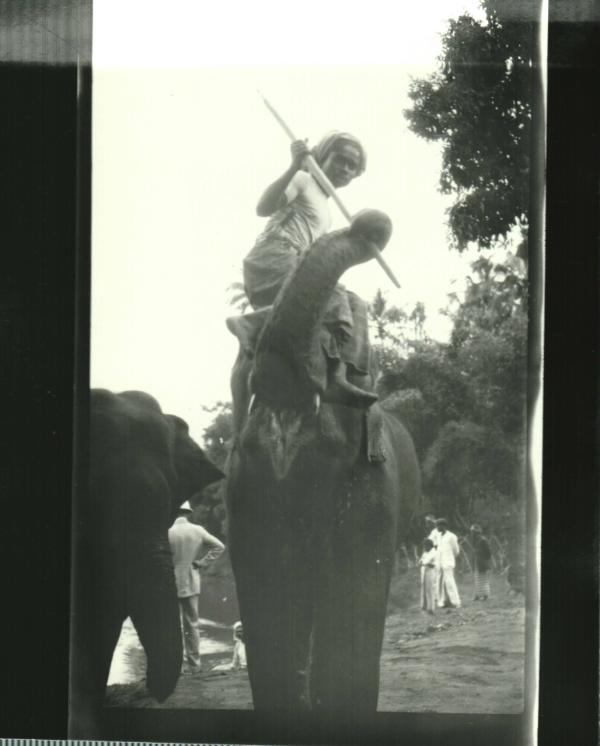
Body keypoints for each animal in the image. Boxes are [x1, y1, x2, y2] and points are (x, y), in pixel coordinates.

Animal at [226, 208, 422, 708]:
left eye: (341, 334)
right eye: (246, 353)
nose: (368, 223)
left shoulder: (373, 484)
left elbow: (353, 593)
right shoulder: (243, 487)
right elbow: (265, 589)